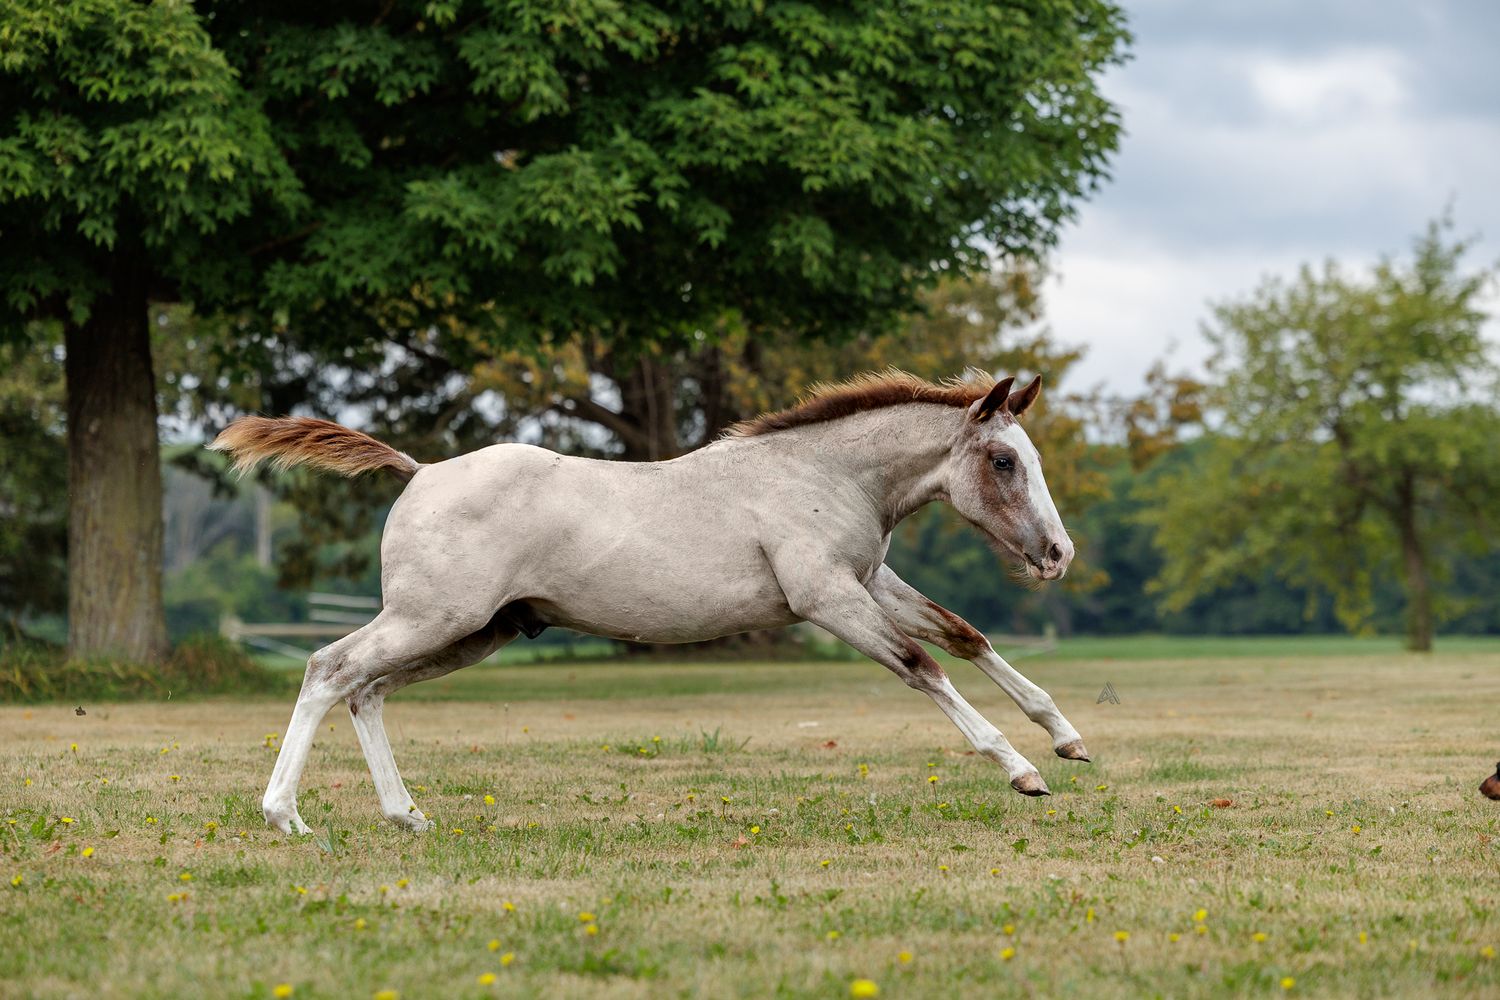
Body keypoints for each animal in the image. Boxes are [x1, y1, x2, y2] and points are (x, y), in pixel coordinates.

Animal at [210, 370, 1088, 834]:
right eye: (1004, 460)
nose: (1057, 555)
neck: (820, 474)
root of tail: (419, 470)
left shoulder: (870, 582)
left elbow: (965, 637)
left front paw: (1067, 737)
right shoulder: (829, 599)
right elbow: (921, 667)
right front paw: (1020, 770)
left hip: (470, 634)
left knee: (368, 691)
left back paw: (406, 816)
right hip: (432, 621)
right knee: (330, 670)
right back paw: (286, 815)